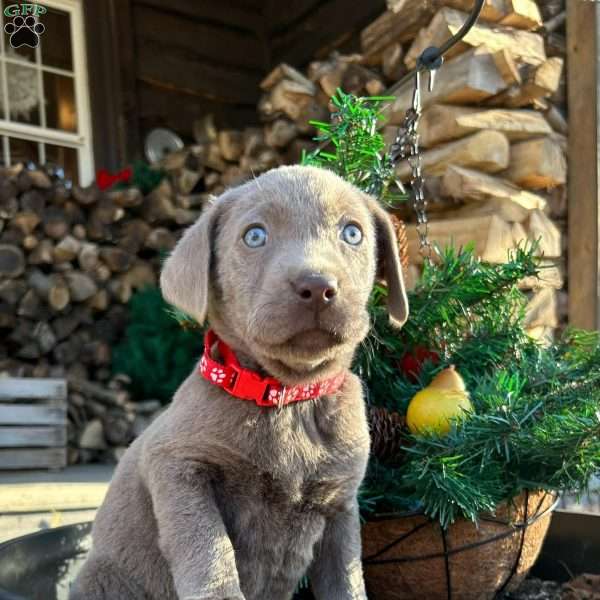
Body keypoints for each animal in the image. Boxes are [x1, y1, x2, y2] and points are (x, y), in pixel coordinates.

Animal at [70, 165, 408, 600]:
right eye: (255, 236)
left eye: (352, 233)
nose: (317, 286)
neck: (288, 398)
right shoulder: (177, 465)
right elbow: (210, 551)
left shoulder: (341, 505)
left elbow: (347, 580)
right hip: (105, 576)